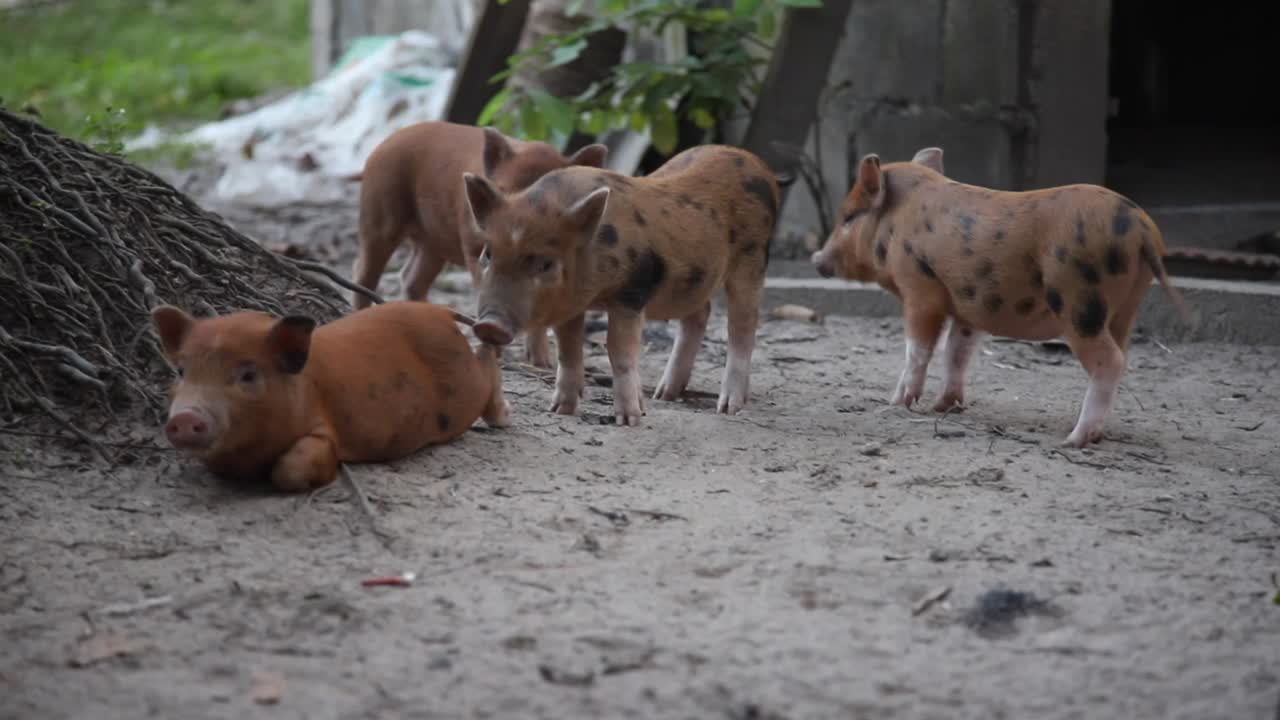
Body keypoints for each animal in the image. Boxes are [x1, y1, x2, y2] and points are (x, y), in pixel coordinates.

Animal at [151, 301, 510, 491]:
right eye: (181, 371)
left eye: (248, 375)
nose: (185, 416)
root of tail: (440, 309)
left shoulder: (325, 432)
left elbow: (294, 468)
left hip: (462, 391)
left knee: (486, 360)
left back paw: (502, 419)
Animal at [350, 121, 609, 368]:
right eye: (502, 190)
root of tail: (386, 142)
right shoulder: (473, 250)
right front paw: (496, 354)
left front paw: (542, 364)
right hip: (379, 212)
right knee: (364, 271)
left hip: (432, 245)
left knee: (411, 278)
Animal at [461, 144, 784, 425]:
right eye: (488, 253)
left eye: (546, 264)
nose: (489, 324)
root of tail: (757, 163)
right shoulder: (570, 304)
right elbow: (568, 350)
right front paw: (559, 410)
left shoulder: (631, 293)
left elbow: (619, 350)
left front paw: (629, 420)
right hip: (694, 279)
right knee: (699, 315)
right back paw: (664, 394)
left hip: (753, 259)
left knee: (743, 326)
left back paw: (728, 408)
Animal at [811, 147, 1187, 448]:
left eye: (848, 218)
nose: (815, 258)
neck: (896, 225)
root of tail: (1140, 228)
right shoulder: (969, 307)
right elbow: (957, 353)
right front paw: (942, 407)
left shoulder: (920, 289)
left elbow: (917, 351)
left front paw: (896, 403)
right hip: (1126, 306)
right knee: (1121, 355)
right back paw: (1090, 433)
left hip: (1079, 300)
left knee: (1109, 361)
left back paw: (1072, 439)